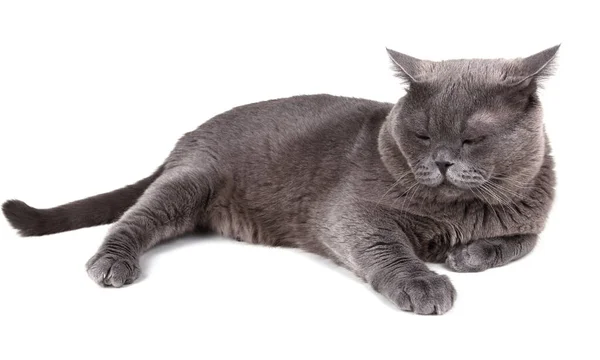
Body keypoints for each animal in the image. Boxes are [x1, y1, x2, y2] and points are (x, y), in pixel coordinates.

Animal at [1, 45, 556, 316]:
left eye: (470, 139)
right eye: (420, 134)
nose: (440, 162)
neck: (459, 209)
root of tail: (187, 136)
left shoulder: (533, 223)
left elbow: (518, 244)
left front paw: (466, 255)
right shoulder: (349, 213)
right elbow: (388, 247)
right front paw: (423, 283)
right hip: (189, 182)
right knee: (131, 218)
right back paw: (112, 263)